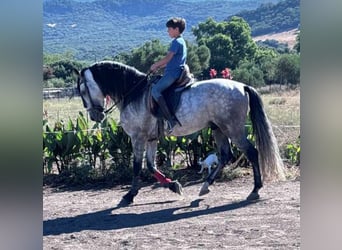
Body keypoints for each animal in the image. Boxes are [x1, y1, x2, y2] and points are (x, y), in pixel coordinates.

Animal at [73, 60, 286, 205]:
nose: (95, 116)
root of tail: (242, 86)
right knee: (225, 155)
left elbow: (136, 166)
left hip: (233, 129)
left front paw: (129, 195)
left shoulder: (138, 138)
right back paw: (205, 187)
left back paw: (255, 190)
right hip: (218, 128)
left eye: (82, 90)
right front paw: (174, 186)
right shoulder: (151, 139)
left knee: (251, 152)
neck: (133, 93)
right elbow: (150, 166)